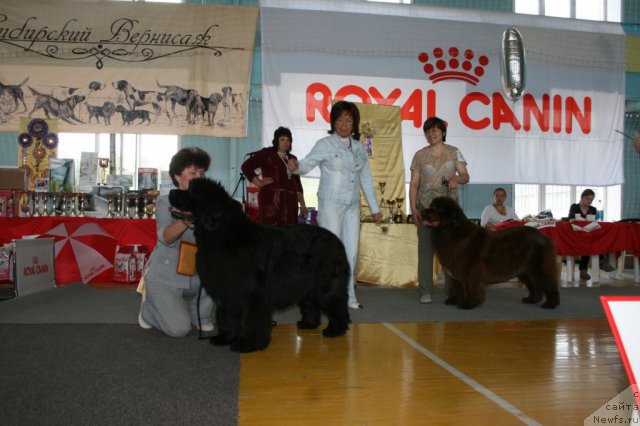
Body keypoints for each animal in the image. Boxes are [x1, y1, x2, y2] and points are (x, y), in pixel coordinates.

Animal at [170, 177, 350, 352]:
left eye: (191, 191)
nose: (171, 192)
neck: (222, 234)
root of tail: (337, 240)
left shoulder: (254, 295)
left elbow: (251, 320)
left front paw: (247, 344)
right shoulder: (228, 292)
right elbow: (228, 317)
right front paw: (225, 337)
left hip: (326, 284)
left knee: (337, 304)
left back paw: (336, 329)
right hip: (306, 285)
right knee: (311, 302)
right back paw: (308, 324)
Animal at [422, 196, 556, 310]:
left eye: (436, 208)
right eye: (430, 205)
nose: (423, 211)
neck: (451, 231)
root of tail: (544, 237)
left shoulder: (470, 271)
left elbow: (470, 287)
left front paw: (469, 303)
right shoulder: (455, 272)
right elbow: (456, 287)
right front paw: (455, 300)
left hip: (538, 268)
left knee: (549, 284)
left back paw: (551, 304)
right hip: (525, 271)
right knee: (535, 285)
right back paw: (532, 299)